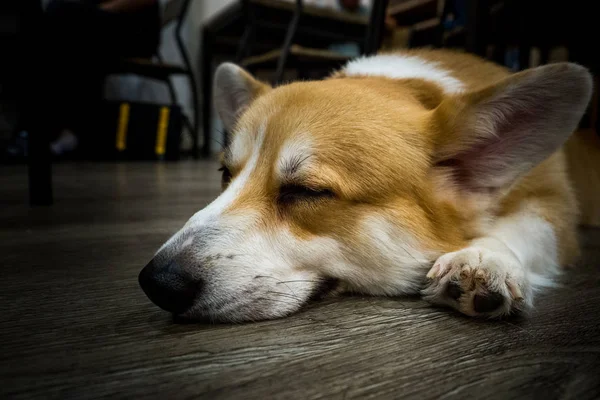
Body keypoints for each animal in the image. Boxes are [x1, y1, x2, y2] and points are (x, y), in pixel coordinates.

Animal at [138, 47, 592, 322]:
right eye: (225, 175)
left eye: (307, 191)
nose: (156, 283)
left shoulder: (556, 208)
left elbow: (527, 227)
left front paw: (484, 259)